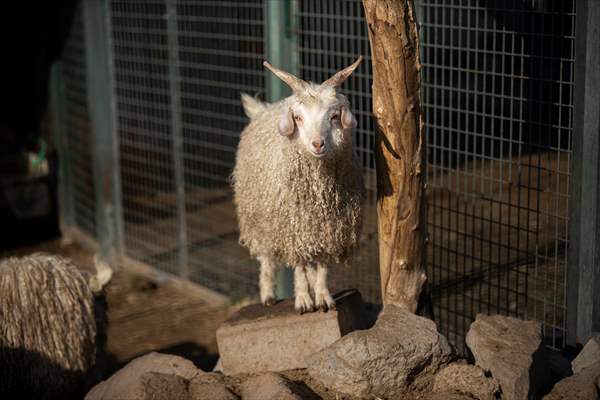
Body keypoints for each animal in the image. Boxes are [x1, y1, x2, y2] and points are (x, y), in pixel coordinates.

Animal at [233, 56, 366, 312]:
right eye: (298, 118)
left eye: (334, 116)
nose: (317, 144)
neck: (318, 193)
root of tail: (263, 109)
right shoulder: (291, 227)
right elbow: (299, 265)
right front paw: (303, 299)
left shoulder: (330, 229)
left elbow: (322, 265)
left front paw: (323, 297)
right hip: (259, 218)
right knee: (267, 257)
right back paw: (268, 295)